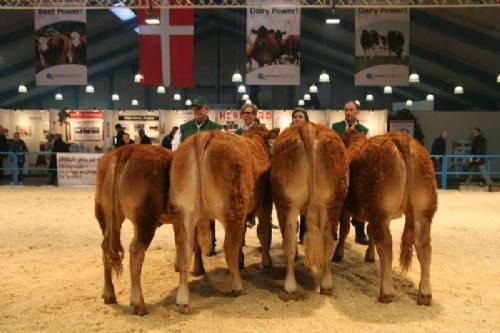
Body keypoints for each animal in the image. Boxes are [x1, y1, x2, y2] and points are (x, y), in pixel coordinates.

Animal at [95, 143, 174, 314]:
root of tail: (125, 150)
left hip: (105, 215)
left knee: (105, 247)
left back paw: (108, 293)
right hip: (145, 219)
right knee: (136, 250)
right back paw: (139, 304)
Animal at [169, 126, 272, 312]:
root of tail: (205, 135)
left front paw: (241, 261)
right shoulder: (265, 204)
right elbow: (263, 233)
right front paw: (266, 262)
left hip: (184, 214)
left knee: (185, 250)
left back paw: (183, 298)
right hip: (233, 208)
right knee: (229, 247)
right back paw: (237, 286)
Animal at [274, 122, 348, 294]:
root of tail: (309, 126)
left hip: (287, 204)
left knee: (289, 238)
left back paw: (289, 285)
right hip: (333, 203)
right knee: (328, 239)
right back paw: (326, 283)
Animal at [332, 129, 438, 304]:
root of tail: (400, 136)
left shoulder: (345, 208)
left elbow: (345, 230)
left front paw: (338, 254)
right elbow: (369, 232)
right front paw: (369, 255)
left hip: (381, 209)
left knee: (386, 245)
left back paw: (386, 292)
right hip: (423, 211)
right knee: (424, 247)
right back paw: (425, 294)